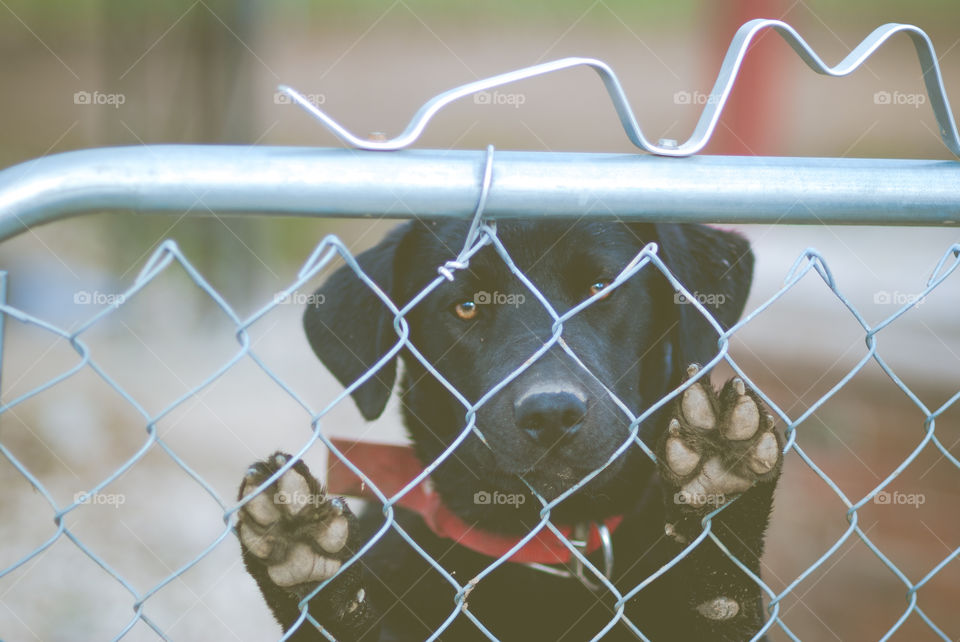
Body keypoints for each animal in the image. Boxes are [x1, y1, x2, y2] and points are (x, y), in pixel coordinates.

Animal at [236, 219, 784, 636]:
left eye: (600, 288)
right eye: (466, 306)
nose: (552, 413)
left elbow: (723, 601)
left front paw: (719, 484)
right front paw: (306, 557)